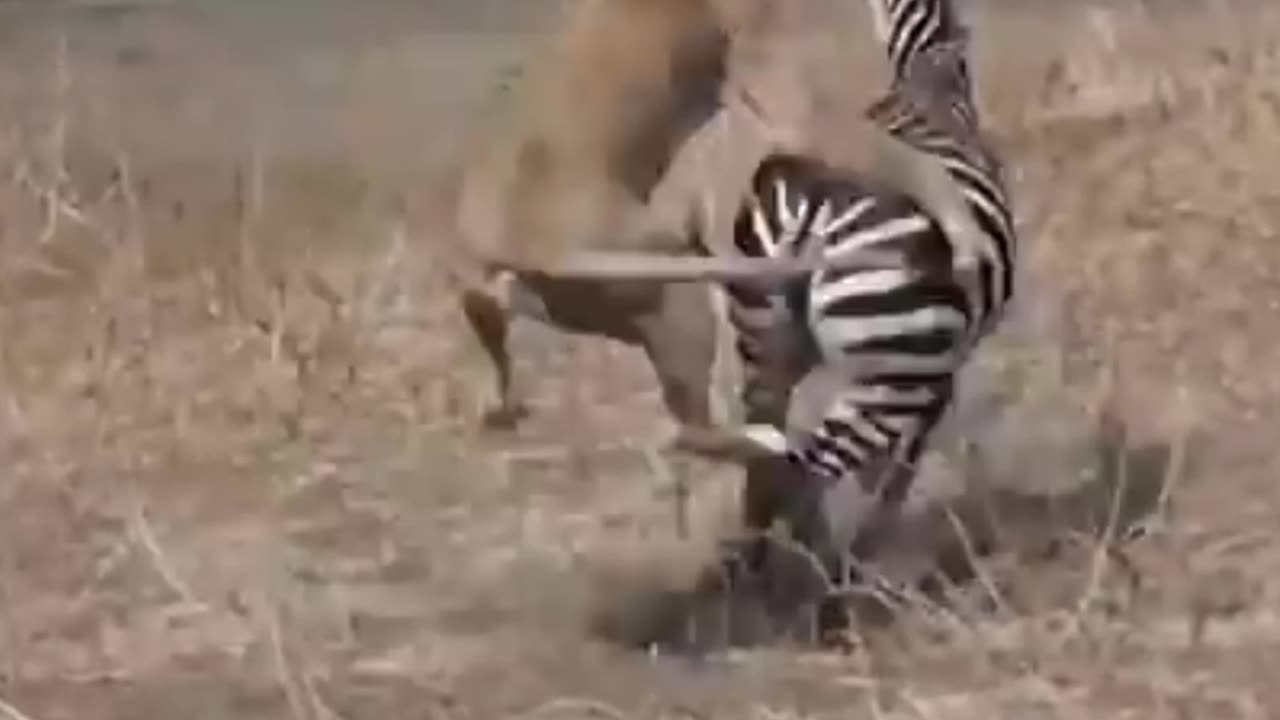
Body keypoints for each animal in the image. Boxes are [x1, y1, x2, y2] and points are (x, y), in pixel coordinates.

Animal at [711, 0, 1018, 630]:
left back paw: (756, 585)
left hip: (766, 347)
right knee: (804, 468)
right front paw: (872, 545)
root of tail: (807, 209)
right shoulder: (935, 374)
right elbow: (897, 471)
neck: (925, 77)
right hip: (888, 375)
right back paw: (830, 597)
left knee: (766, 460)